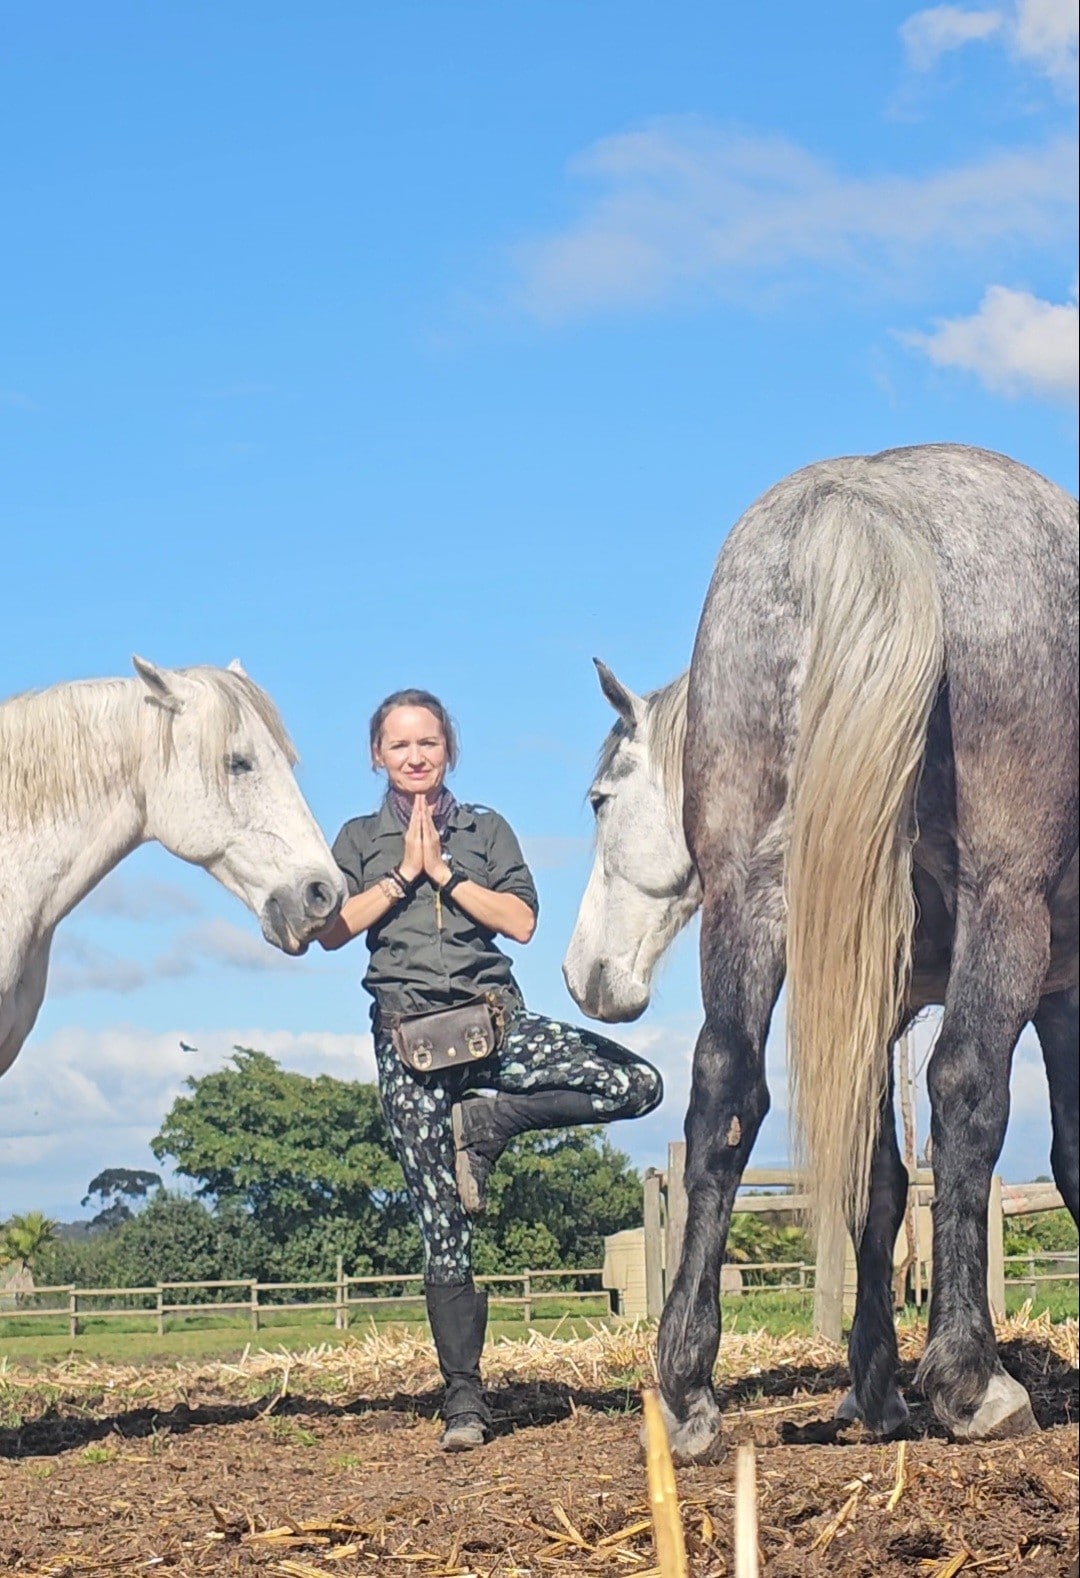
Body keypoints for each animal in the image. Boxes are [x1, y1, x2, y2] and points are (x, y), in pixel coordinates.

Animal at [563, 442, 1078, 1462]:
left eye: (600, 800)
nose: (583, 974)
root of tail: (861, 502)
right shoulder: (1055, 992)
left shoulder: (879, 999)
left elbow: (879, 1184)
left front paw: (870, 1390)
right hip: (1004, 907)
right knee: (966, 1085)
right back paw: (972, 1381)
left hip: (754, 903)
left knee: (726, 1095)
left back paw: (689, 1389)